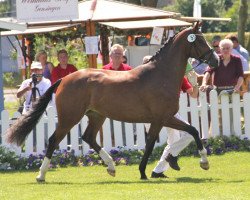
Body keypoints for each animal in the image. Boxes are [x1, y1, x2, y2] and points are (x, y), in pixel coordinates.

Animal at [5, 22, 219, 180]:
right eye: (200, 40)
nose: (215, 61)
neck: (161, 74)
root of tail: (65, 79)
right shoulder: (161, 118)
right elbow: (160, 140)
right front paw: (203, 163)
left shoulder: (164, 118)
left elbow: (189, 132)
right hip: (70, 117)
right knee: (53, 140)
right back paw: (41, 175)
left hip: (96, 116)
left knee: (89, 137)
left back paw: (111, 167)